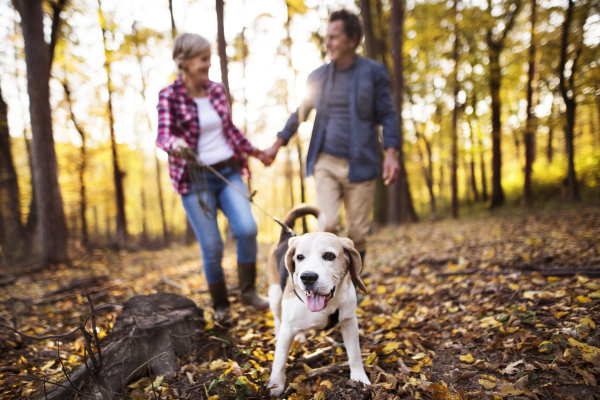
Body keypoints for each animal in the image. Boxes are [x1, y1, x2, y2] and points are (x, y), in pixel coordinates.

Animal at [268, 205, 370, 396]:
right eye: (299, 257)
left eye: (329, 255)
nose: (307, 277)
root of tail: (286, 235)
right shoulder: (287, 329)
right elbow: (279, 361)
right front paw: (275, 385)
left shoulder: (349, 322)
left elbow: (355, 354)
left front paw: (360, 379)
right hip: (275, 295)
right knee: (278, 320)